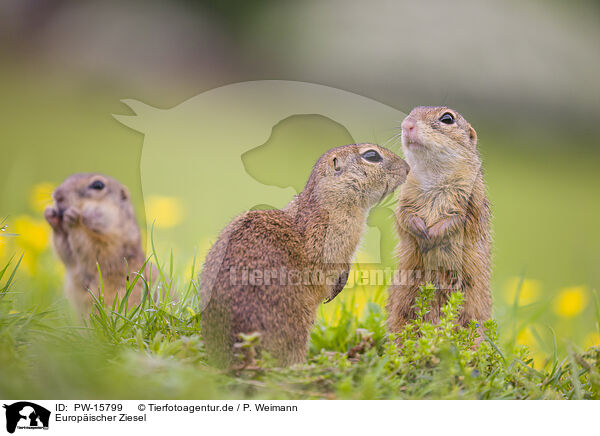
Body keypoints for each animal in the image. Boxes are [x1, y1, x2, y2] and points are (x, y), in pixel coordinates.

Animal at [43, 174, 149, 314]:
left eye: (98, 185)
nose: (56, 195)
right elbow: (66, 252)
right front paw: (50, 215)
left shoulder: (111, 244)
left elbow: (92, 248)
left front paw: (74, 219)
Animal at [386, 107, 490, 332]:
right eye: (412, 111)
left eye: (447, 118)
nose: (406, 125)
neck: (433, 174)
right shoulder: (405, 196)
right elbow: (404, 215)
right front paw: (420, 229)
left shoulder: (470, 199)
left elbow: (459, 220)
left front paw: (432, 235)